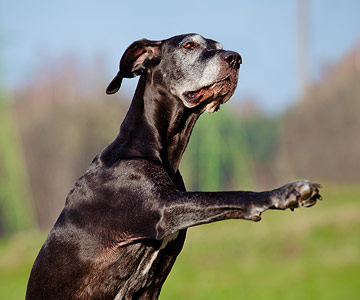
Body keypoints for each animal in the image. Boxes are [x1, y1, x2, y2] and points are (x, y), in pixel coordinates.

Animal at [26, 34, 322, 298]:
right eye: (189, 45)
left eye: (220, 46)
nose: (236, 59)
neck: (157, 147)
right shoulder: (162, 209)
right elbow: (232, 194)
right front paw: (286, 192)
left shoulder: (153, 283)